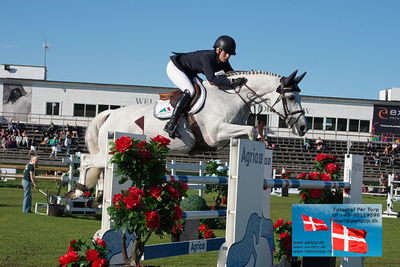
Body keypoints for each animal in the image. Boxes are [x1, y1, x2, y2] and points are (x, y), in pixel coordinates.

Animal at [67, 70, 308, 200]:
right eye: (291, 97)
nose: (304, 127)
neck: (232, 96)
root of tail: (110, 113)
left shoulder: (229, 132)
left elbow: (249, 133)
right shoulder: (216, 133)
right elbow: (250, 131)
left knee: (98, 168)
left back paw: (98, 195)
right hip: (114, 149)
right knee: (88, 160)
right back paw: (79, 193)